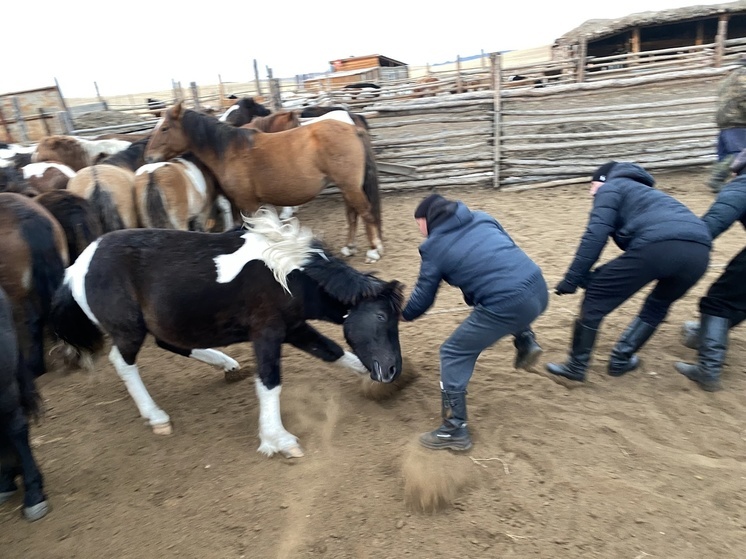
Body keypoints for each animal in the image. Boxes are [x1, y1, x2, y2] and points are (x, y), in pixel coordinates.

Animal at [50, 208, 402, 458]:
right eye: (382, 315)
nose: (392, 370)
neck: (285, 271)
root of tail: (76, 268)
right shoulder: (268, 333)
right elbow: (270, 383)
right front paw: (278, 440)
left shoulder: (294, 328)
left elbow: (333, 352)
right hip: (129, 330)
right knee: (123, 363)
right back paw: (157, 416)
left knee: (171, 344)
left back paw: (227, 365)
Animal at [144, 102, 384, 262]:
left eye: (164, 128)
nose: (149, 157)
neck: (229, 151)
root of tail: (352, 128)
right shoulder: (262, 202)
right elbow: (273, 228)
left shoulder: (247, 203)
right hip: (347, 187)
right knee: (352, 214)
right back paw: (349, 247)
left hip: (350, 186)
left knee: (365, 212)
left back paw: (374, 251)